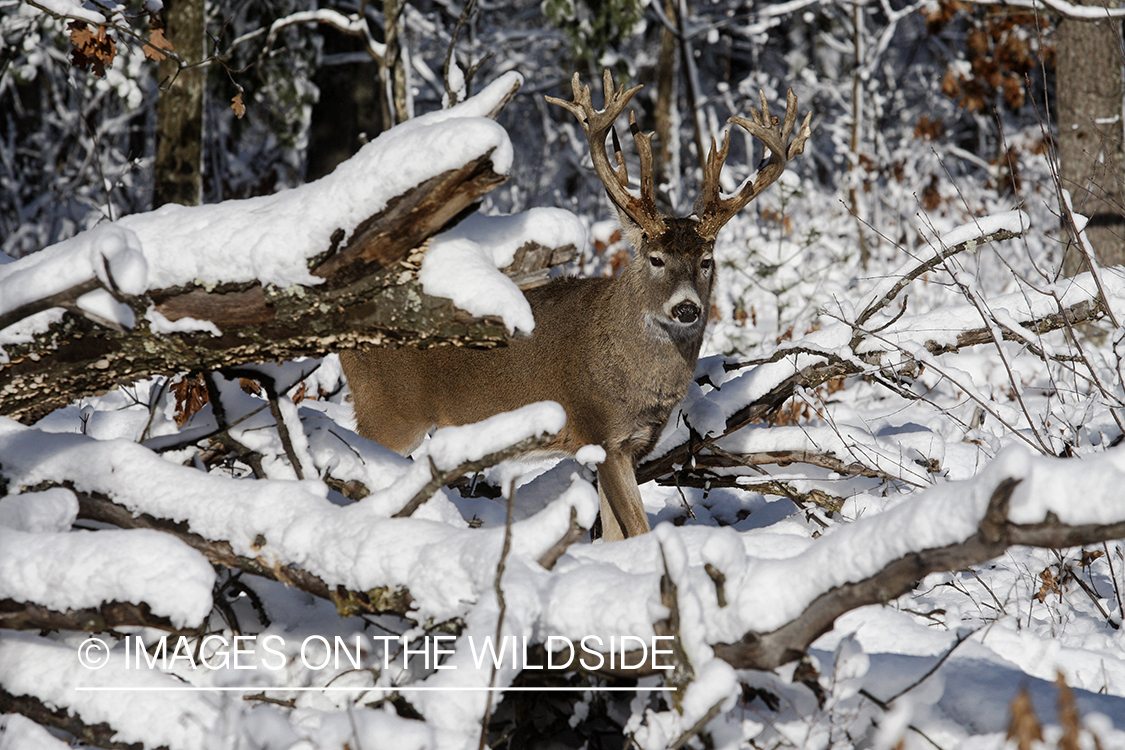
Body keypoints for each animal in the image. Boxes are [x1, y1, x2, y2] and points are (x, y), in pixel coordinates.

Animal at [337, 68, 814, 539]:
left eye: (707, 262)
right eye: (655, 258)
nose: (686, 309)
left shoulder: (629, 444)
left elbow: (616, 532)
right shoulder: (598, 428)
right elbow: (637, 528)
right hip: (389, 410)